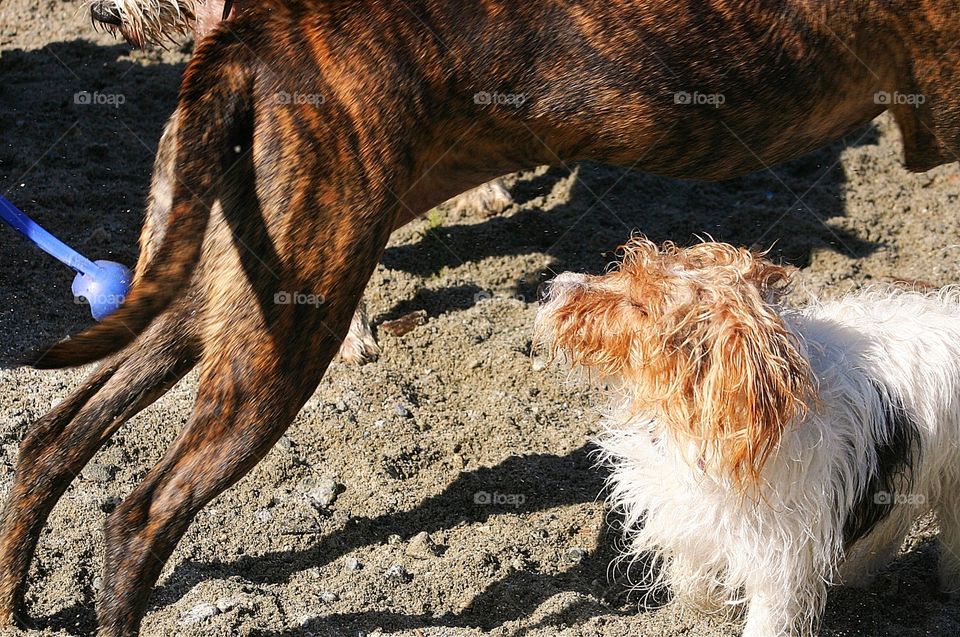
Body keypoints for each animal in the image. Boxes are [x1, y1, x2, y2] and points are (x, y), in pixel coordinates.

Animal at [1, 0, 960, 632]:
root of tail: (252, 32)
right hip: (287, 323)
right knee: (140, 514)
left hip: (211, 296)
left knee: (51, 439)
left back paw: (16, 602)